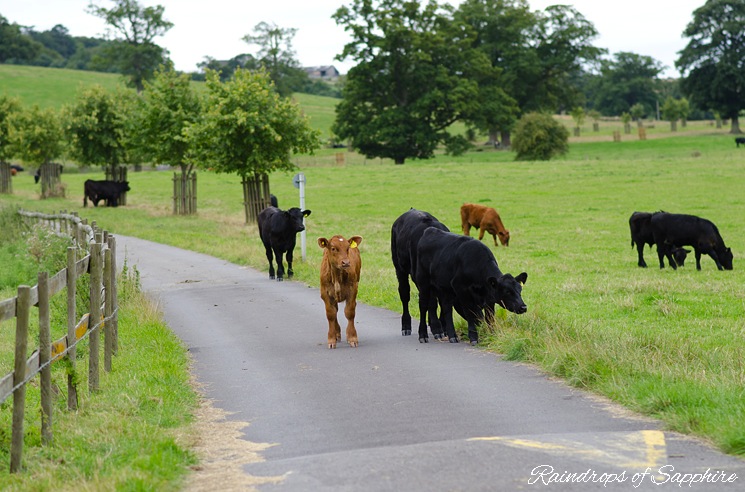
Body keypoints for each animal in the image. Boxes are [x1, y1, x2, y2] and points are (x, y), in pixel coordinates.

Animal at [390, 208, 448, 338]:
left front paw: (444, 325)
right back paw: (406, 326)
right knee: (404, 293)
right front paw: (437, 327)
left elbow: (440, 300)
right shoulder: (423, 279)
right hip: (400, 268)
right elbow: (432, 302)